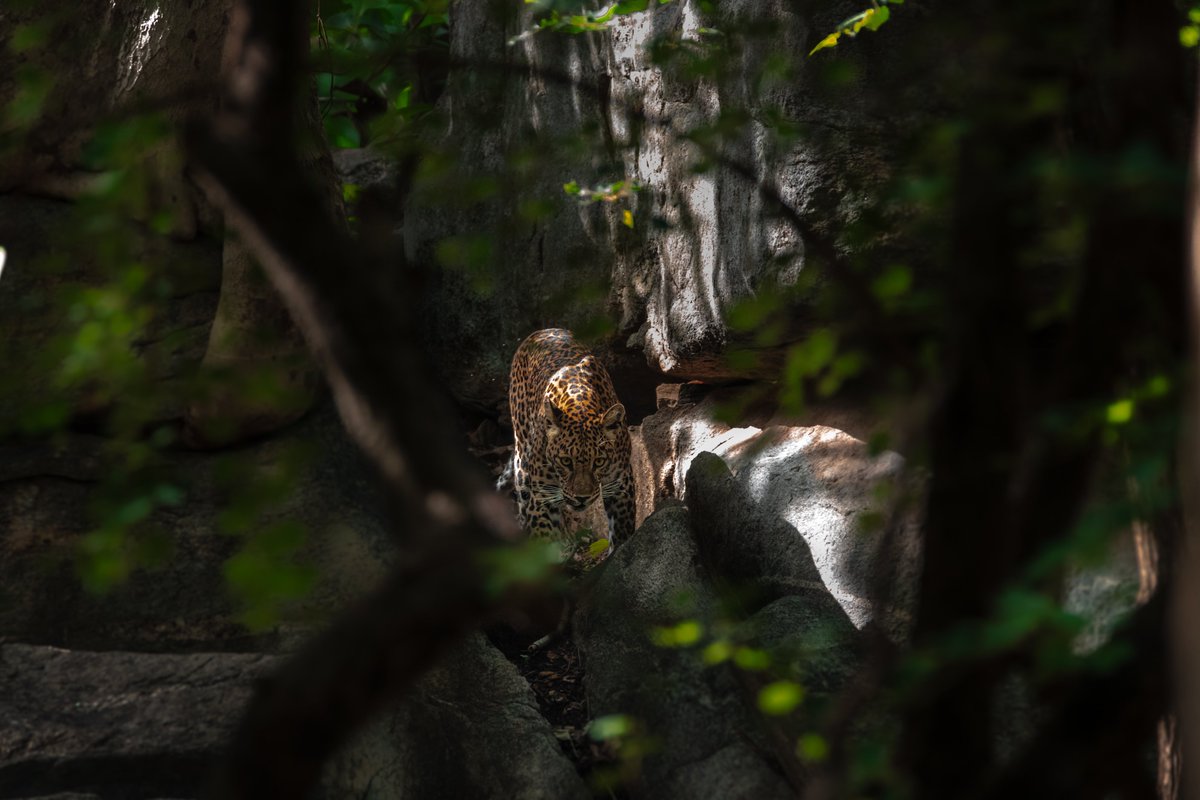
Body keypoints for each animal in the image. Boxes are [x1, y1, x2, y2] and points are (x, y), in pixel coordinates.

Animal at [500, 328, 635, 549]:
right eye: (565, 461)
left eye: (599, 461)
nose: (582, 499)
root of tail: (542, 331)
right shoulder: (542, 496)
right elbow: (543, 537)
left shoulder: (621, 482)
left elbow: (623, 531)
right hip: (522, 463)